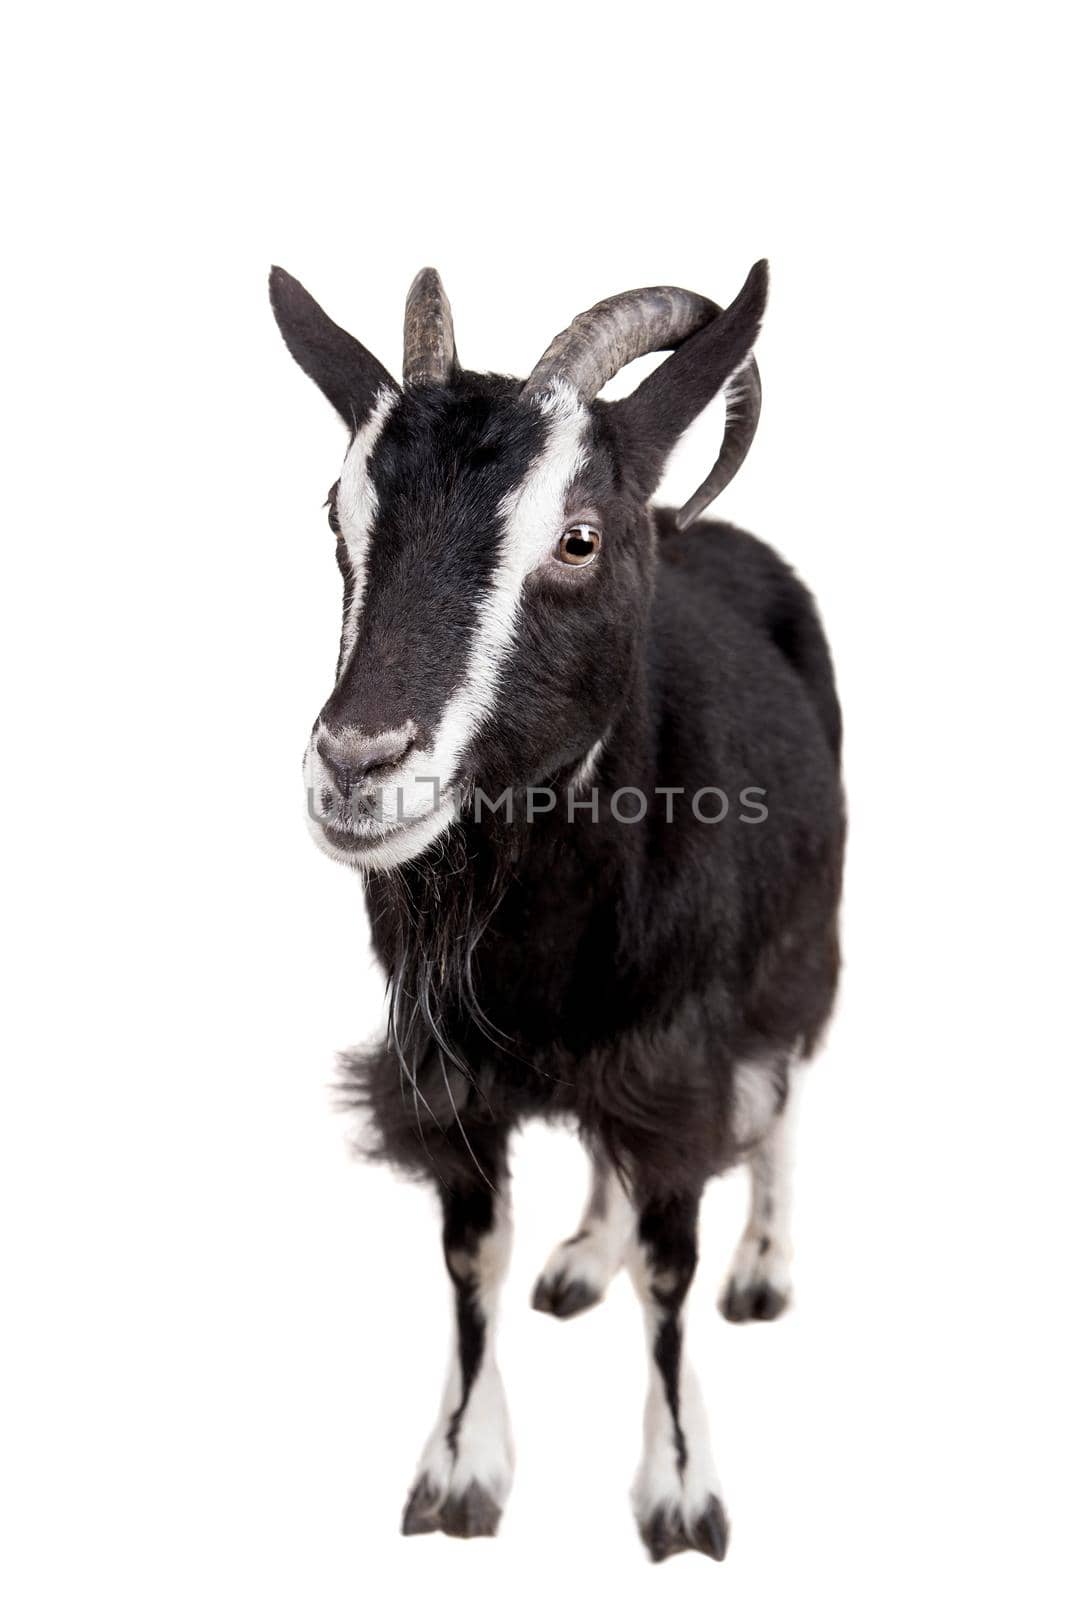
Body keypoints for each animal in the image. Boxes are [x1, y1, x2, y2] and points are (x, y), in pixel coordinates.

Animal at [271, 262, 844, 1561]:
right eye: (337, 516)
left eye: (576, 538)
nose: (358, 767)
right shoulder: (445, 1065)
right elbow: (470, 1254)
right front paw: (457, 1469)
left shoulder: (679, 1049)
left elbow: (670, 1269)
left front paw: (680, 1490)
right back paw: (583, 1252)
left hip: (806, 939)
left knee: (784, 1086)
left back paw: (765, 1266)